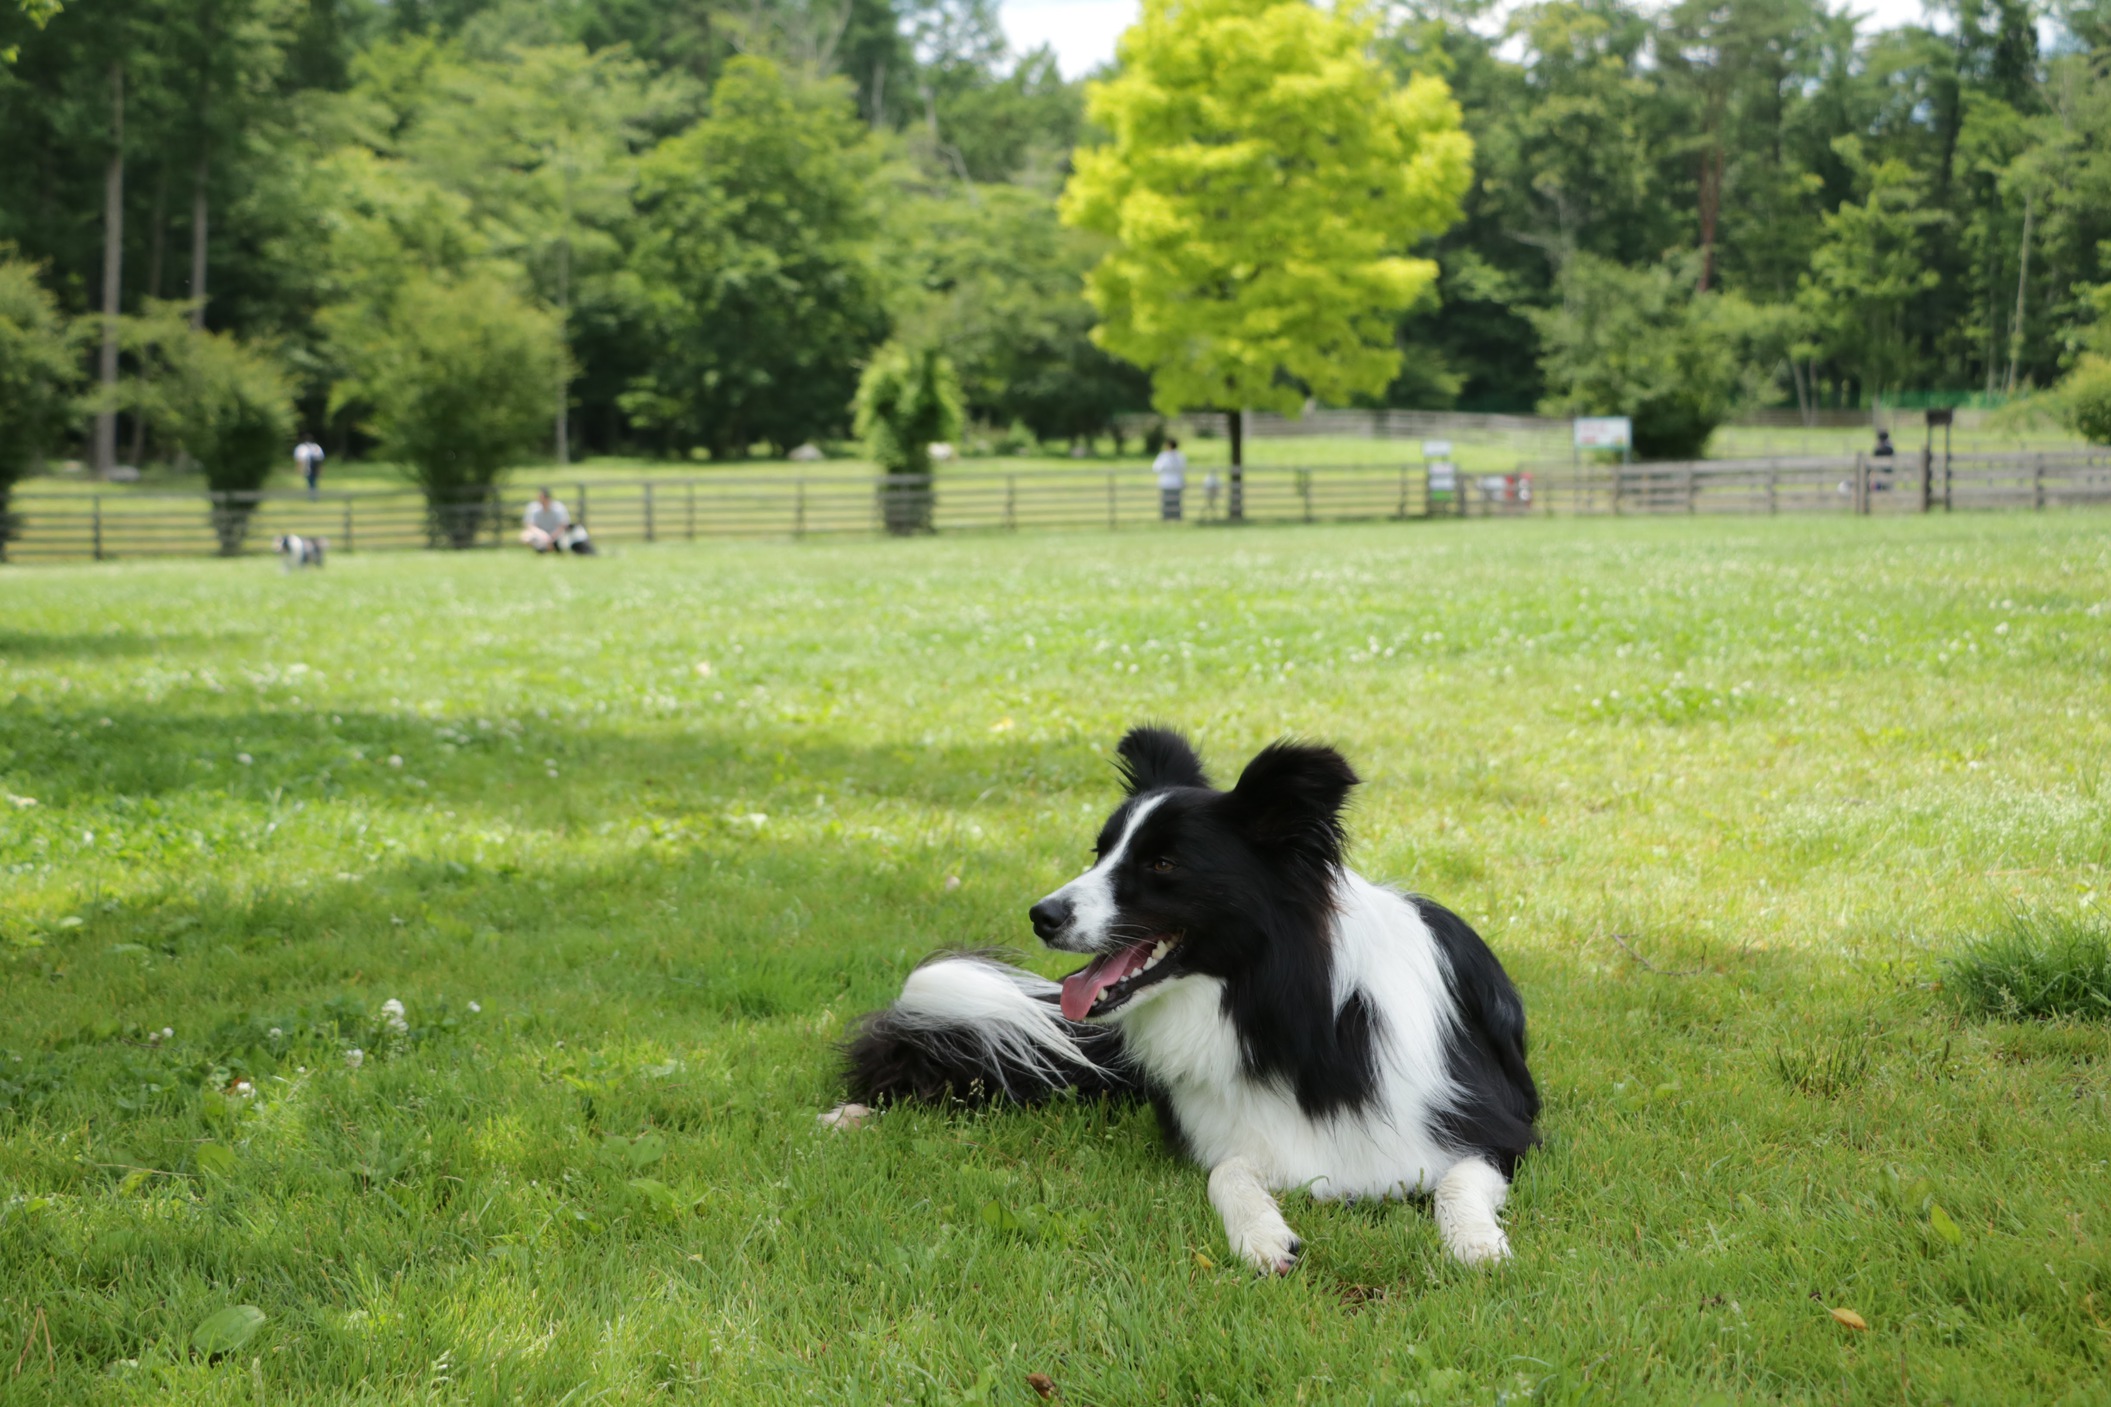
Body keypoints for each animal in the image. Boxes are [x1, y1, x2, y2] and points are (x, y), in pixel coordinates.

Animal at [831, 734, 1545, 1274]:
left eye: (1164, 864)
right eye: (1099, 853)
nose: (1042, 915)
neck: (1295, 1018)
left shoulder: (1500, 1131)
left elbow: (1456, 1180)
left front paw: (1476, 1243)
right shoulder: (1229, 1135)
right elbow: (1226, 1172)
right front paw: (1262, 1236)